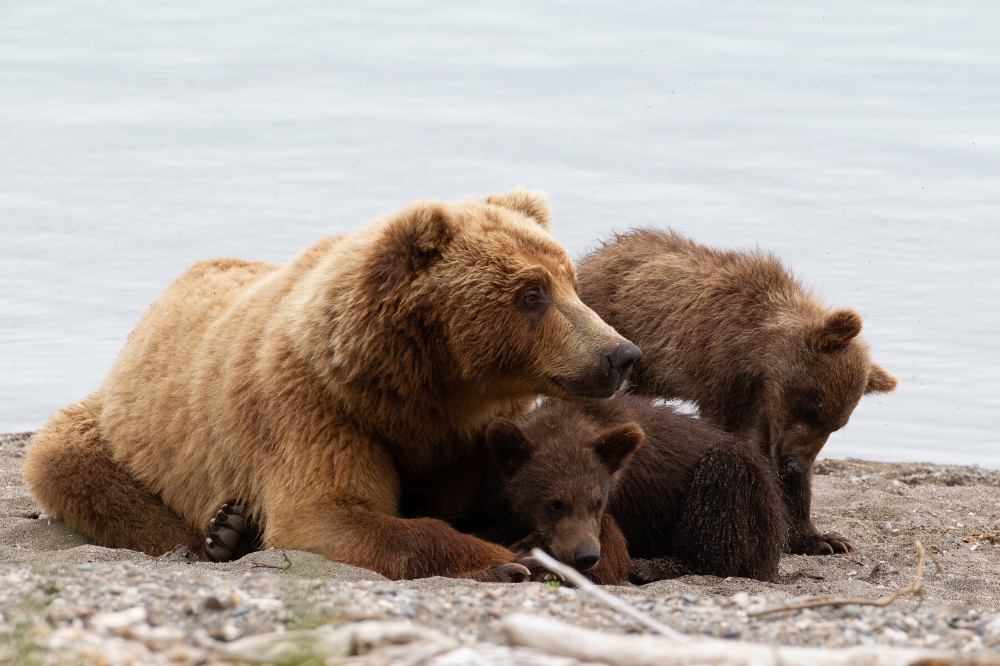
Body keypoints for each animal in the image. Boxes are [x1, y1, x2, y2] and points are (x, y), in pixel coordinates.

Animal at [23, 189, 640, 580]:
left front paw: (589, 549)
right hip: (119, 431)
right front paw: (507, 560)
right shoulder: (312, 406)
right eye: (532, 293)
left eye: (570, 279)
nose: (622, 354)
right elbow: (329, 511)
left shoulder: (473, 433)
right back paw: (219, 537)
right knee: (72, 467)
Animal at [580, 231, 900, 552]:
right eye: (811, 408)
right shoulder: (724, 370)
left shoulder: (769, 406)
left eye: (836, 425)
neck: (758, 349)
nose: (796, 464)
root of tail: (593, 257)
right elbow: (730, 433)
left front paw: (821, 539)